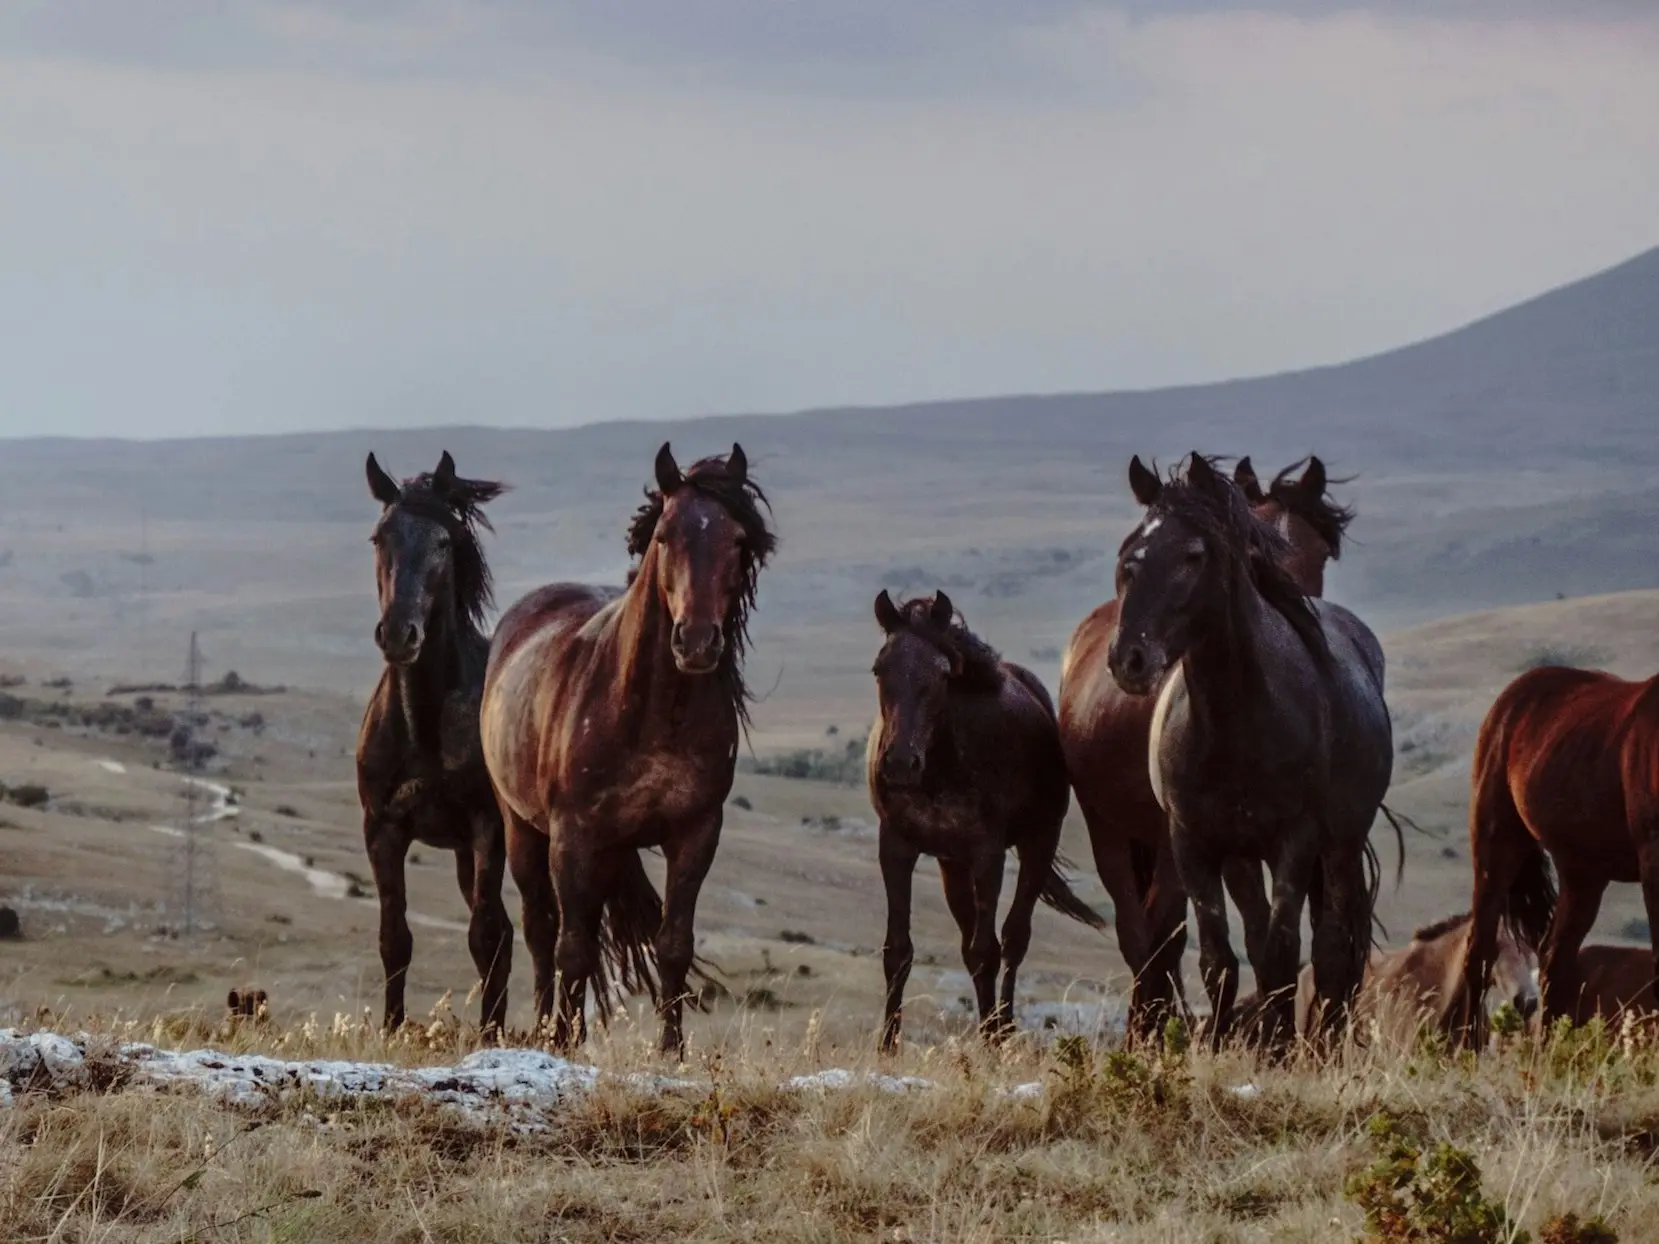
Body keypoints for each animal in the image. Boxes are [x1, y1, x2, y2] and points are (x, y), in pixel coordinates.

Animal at [360, 454, 514, 1035]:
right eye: (379, 537)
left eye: (444, 542)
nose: (399, 634)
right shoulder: (382, 830)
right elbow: (395, 939)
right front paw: (390, 1029)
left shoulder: (488, 828)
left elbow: (484, 935)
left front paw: (491, 1038)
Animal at [474, 444, 769, 1054]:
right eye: (664, 535)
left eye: (737, 539)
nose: (697, 641)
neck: (653, 712)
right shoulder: (574, 835)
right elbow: (570, 946)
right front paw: (561, 1043)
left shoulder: (696, 832)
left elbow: (673, 942)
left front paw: (671, 1049)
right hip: (523, 829)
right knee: (543, 930)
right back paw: (549, 1026)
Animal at [862, 590, 1108, 1054]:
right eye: (879, 668)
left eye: (942, 674)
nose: (900, 763)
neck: (942, 764)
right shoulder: (897, 847)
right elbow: (898, 949)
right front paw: (887, 1045)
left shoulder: (988, 854)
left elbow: (987, 950)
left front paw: (993, 1040)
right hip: (951, 865)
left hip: (1036, 844)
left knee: (1013, 940)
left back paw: (1004, 1029)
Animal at [1446, 666, 1659, 1048]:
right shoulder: (1653, 863)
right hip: (1495, 846)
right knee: (1480, 953)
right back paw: (1469, 1049)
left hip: (1582, 874)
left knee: (1554, 960)